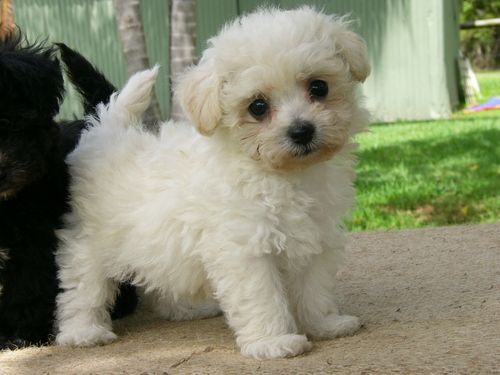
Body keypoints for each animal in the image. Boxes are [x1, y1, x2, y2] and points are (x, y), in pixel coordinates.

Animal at [54, 5, 370, 358]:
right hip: (91, 243)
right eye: (257, 106)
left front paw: (325, 324)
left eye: (318, 87)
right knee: (83, 288)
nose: (301, 131)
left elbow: (315, 287)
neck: (283, 174)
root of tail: (107, 131)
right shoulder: (245, 248)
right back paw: (84, 331)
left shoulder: (316, 236)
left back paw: (185, 310)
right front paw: (273, 342)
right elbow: (262, 297)